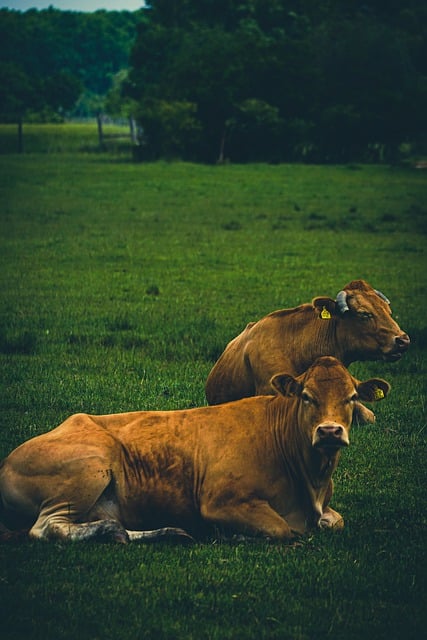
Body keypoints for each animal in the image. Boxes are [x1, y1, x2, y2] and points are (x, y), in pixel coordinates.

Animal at [0, 358, 390, 544]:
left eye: (351, 398)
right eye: (306, 396)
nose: (329, 431)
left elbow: (334, 522)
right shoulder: (221, 501)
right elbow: (283, 530)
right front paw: (231, 535)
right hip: (90, 466)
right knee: (47, 529)